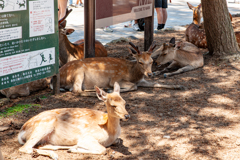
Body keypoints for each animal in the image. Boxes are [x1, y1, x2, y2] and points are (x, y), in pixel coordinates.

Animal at [52, 41, 184, 96]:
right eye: (140, 62)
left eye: (151, 61)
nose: (150, 74)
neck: (132, 74)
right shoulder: (115, 78)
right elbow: (134, 86)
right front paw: (113, 90)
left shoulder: (141, 80)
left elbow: (157, 83)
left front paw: (179, 86)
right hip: (78, 72)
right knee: (77, 90)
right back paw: (104, 91)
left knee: (74, 89)